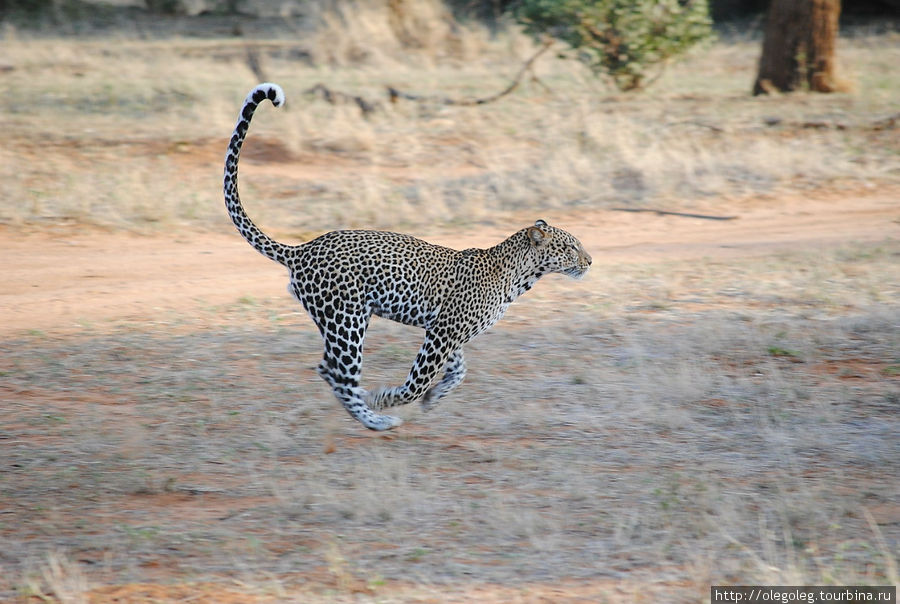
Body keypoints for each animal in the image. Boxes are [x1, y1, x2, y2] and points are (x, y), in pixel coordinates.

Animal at [222, 84, 596, 430]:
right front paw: (388, 399)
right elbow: (418, 381)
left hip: (343, 321)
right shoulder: (443, 332)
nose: (590, 261)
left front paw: (434, 397)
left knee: (329, 370)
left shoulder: (447, 332)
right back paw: (376, 418)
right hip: (346, 322)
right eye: (571, 247)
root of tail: (302, 249)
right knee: (340, 374)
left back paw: (369, 416)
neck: (519, 277)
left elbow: (459, 371)